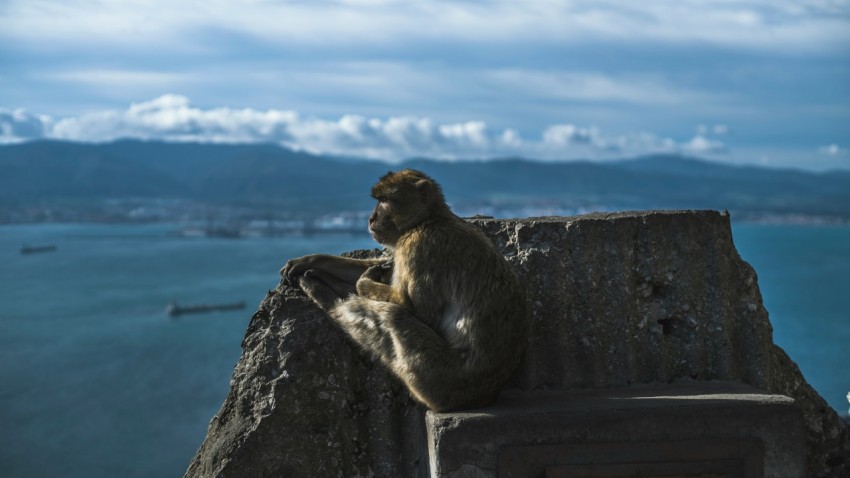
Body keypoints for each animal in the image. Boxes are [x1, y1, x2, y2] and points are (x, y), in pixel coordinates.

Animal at [280, 169, 529, 412]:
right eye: (378, 200)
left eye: (385, 201)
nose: (371, 218)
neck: (427, 220)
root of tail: (485, 396)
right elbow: (383, 266)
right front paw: (310, 261)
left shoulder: (419, 247)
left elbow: (418, 312)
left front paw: (363, 281)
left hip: (437, 378)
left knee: (393, 317)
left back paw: (326, 298)